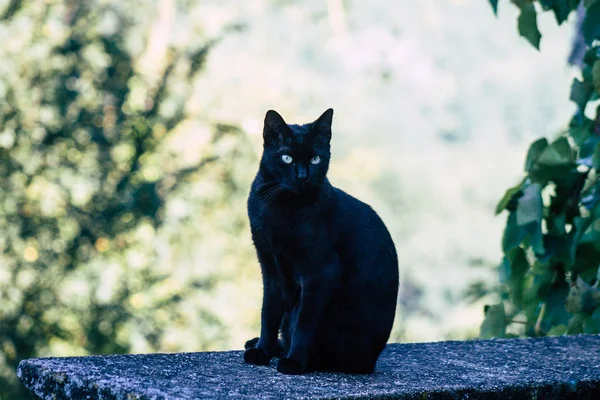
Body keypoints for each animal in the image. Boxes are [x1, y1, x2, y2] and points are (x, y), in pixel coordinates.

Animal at [244, 108, 398, 374]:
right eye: (286, 158)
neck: (281, 207)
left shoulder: (322, 273)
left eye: (315, 159)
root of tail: (371, 361)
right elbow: (268, 313)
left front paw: (294, 362)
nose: (303, 176)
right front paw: (262, 350)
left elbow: (305, 324)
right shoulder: (270, 266)